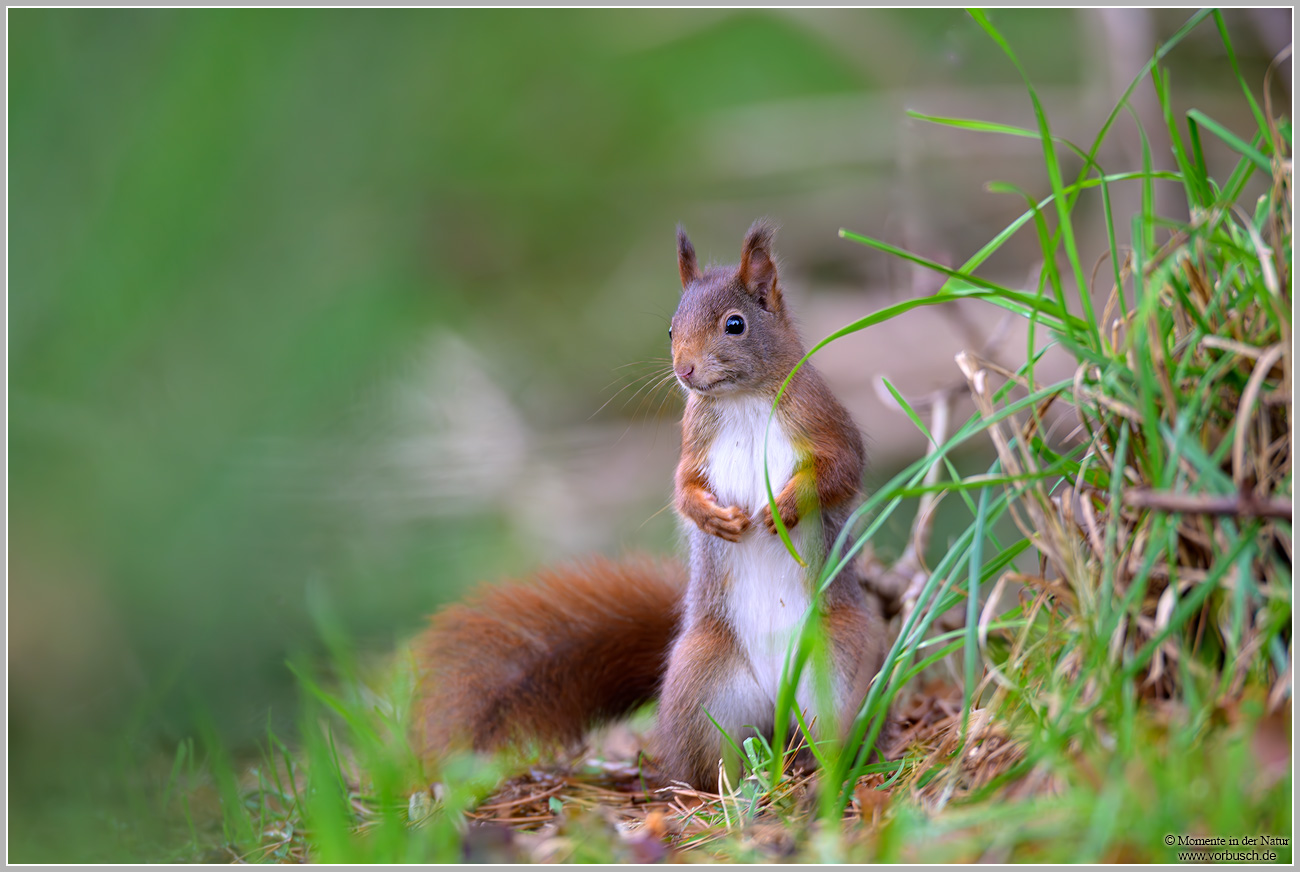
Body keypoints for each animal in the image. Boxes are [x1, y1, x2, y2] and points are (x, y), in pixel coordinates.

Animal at [413, 221, 885, 791]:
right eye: (670, 331)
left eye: (735, 324)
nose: (684, 370)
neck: (741, 400)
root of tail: (777, 699)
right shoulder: (694, 445)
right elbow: (683, 489)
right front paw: (712, 517)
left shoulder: (825, 423)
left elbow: (840, 471)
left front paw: (783, 507)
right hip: (702, 684)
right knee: (708, 762)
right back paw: (725, 788)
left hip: (840, 667)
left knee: (839, 730)